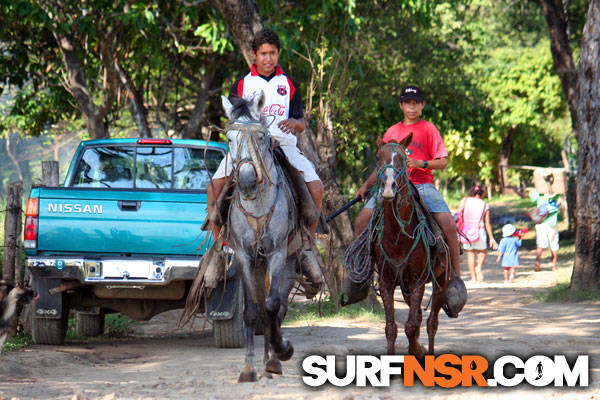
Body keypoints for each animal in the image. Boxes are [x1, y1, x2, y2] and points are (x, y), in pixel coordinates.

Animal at [220, 91, 298, 382]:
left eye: (262, 137)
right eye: (229, 139)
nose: (246, 181)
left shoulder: (276, 252)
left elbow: (272, 305)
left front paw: (282, 351)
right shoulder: (243, 255)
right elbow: (252, 311)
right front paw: (248, 367)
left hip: (287, 261)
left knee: (277, 307)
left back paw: (273, 360)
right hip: (257, 264)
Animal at [370, 135, 450, 360]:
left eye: (403, 159)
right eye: (378, 157)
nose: (389, 187)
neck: (398, 236)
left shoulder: (417, 283)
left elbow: (411, 326)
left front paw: (417, 350)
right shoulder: (387, 283)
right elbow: (391, 328)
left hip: (440, 281)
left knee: (431, 323)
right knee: (421, 317)